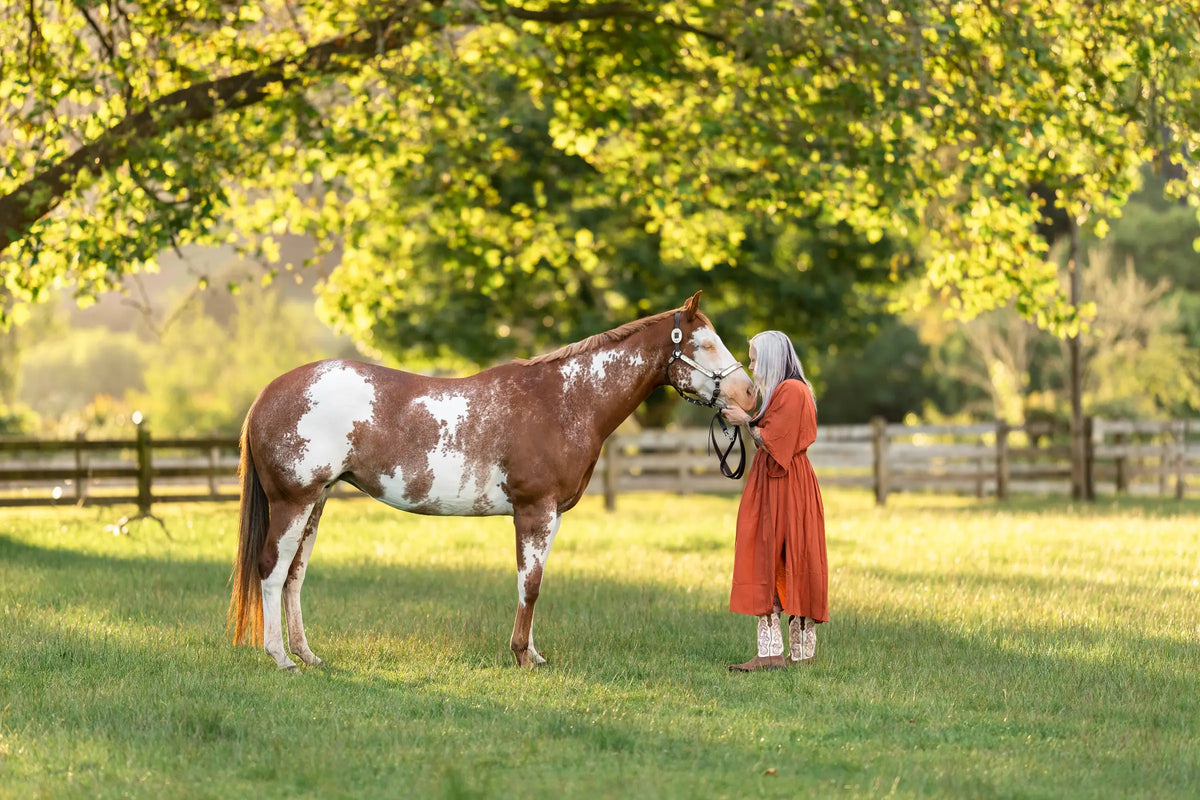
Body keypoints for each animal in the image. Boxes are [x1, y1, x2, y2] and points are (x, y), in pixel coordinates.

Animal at [227, 291, 756, 669]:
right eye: (707, 344)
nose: (748, 393)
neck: (564, 400)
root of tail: (269, 393)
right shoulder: (534, 510)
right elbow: (531, 585)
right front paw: (522, 656)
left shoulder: (550, 515)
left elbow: (532, 583)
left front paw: (533, 653)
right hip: (293, 501)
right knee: (272, 569)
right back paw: (280, 658)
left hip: (316, 503)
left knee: (294, 576)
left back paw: (307, 655)